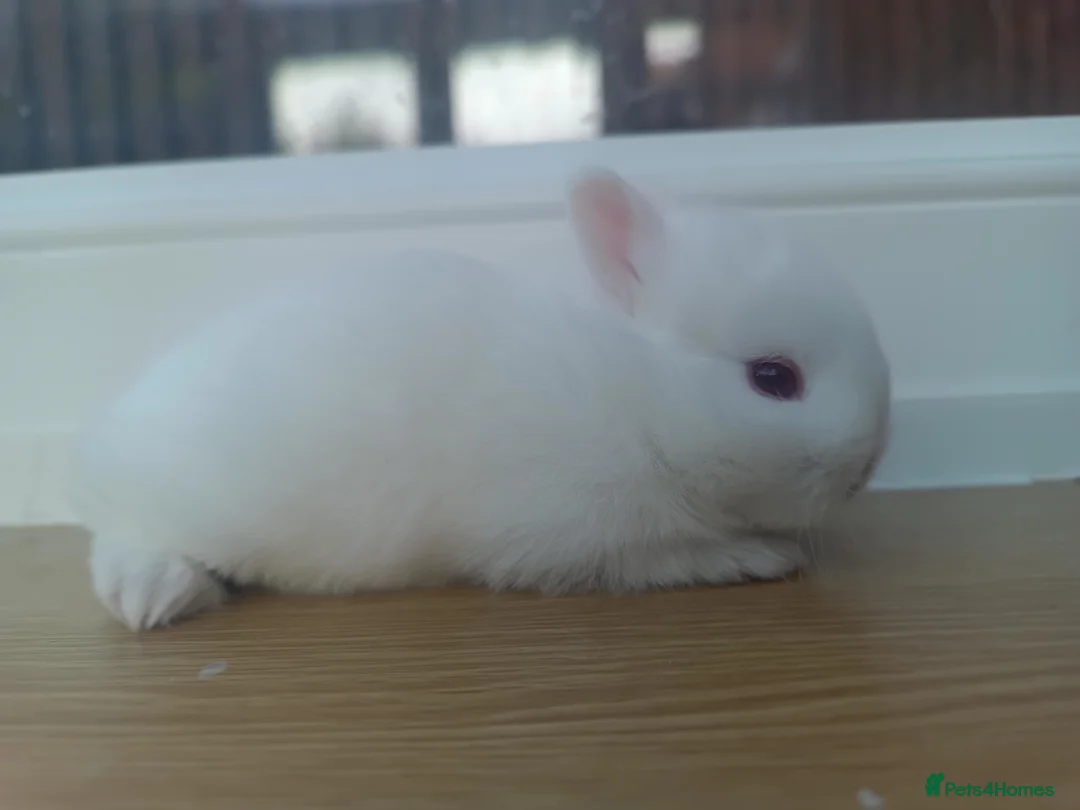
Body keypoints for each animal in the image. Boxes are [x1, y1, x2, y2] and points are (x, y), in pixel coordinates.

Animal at [71, 169, 891, 632]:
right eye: (773, 378)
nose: (867, 469)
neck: (632, 391)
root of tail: (111, 438)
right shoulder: (582, 536)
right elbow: (669, 557)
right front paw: (761, 556)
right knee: (123, 534)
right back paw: (156, 598)